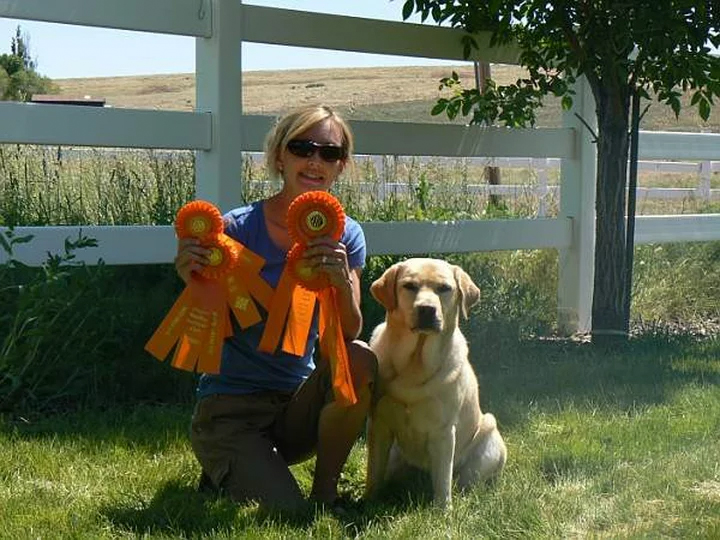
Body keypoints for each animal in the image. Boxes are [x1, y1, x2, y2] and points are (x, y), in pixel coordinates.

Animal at [366, 260, 506, 508]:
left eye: (444, 288)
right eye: (409, 286)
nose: (426, 309)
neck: (415, 364)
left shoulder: (443, 431)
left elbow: (442, 479)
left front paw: (443, 510)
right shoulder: (380, 424)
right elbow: (374, 471)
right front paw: (368, 501)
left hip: (488, 440)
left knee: (464, 480)